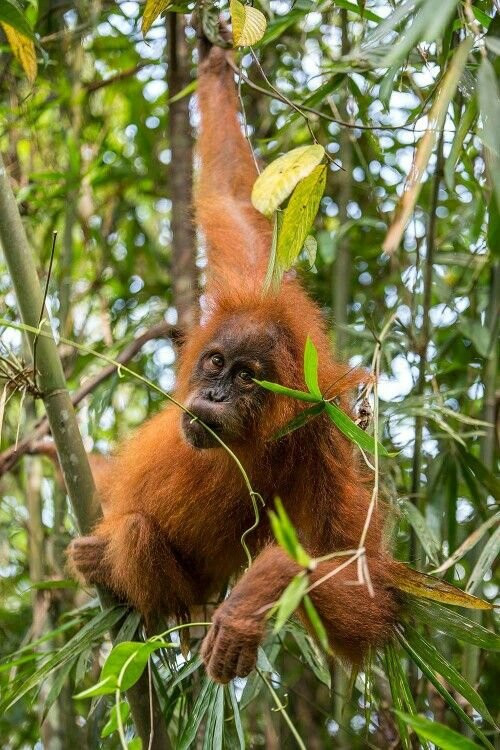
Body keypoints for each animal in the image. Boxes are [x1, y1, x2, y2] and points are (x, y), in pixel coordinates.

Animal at [67, 44, 401, 684]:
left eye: (246, 378)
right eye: (216, 363)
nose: (216, 394)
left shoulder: (323, 438)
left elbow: (365, 584)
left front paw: (258, 594)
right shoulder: (252, 283)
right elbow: (232, 201)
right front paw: (215, 64)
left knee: (139, 538)